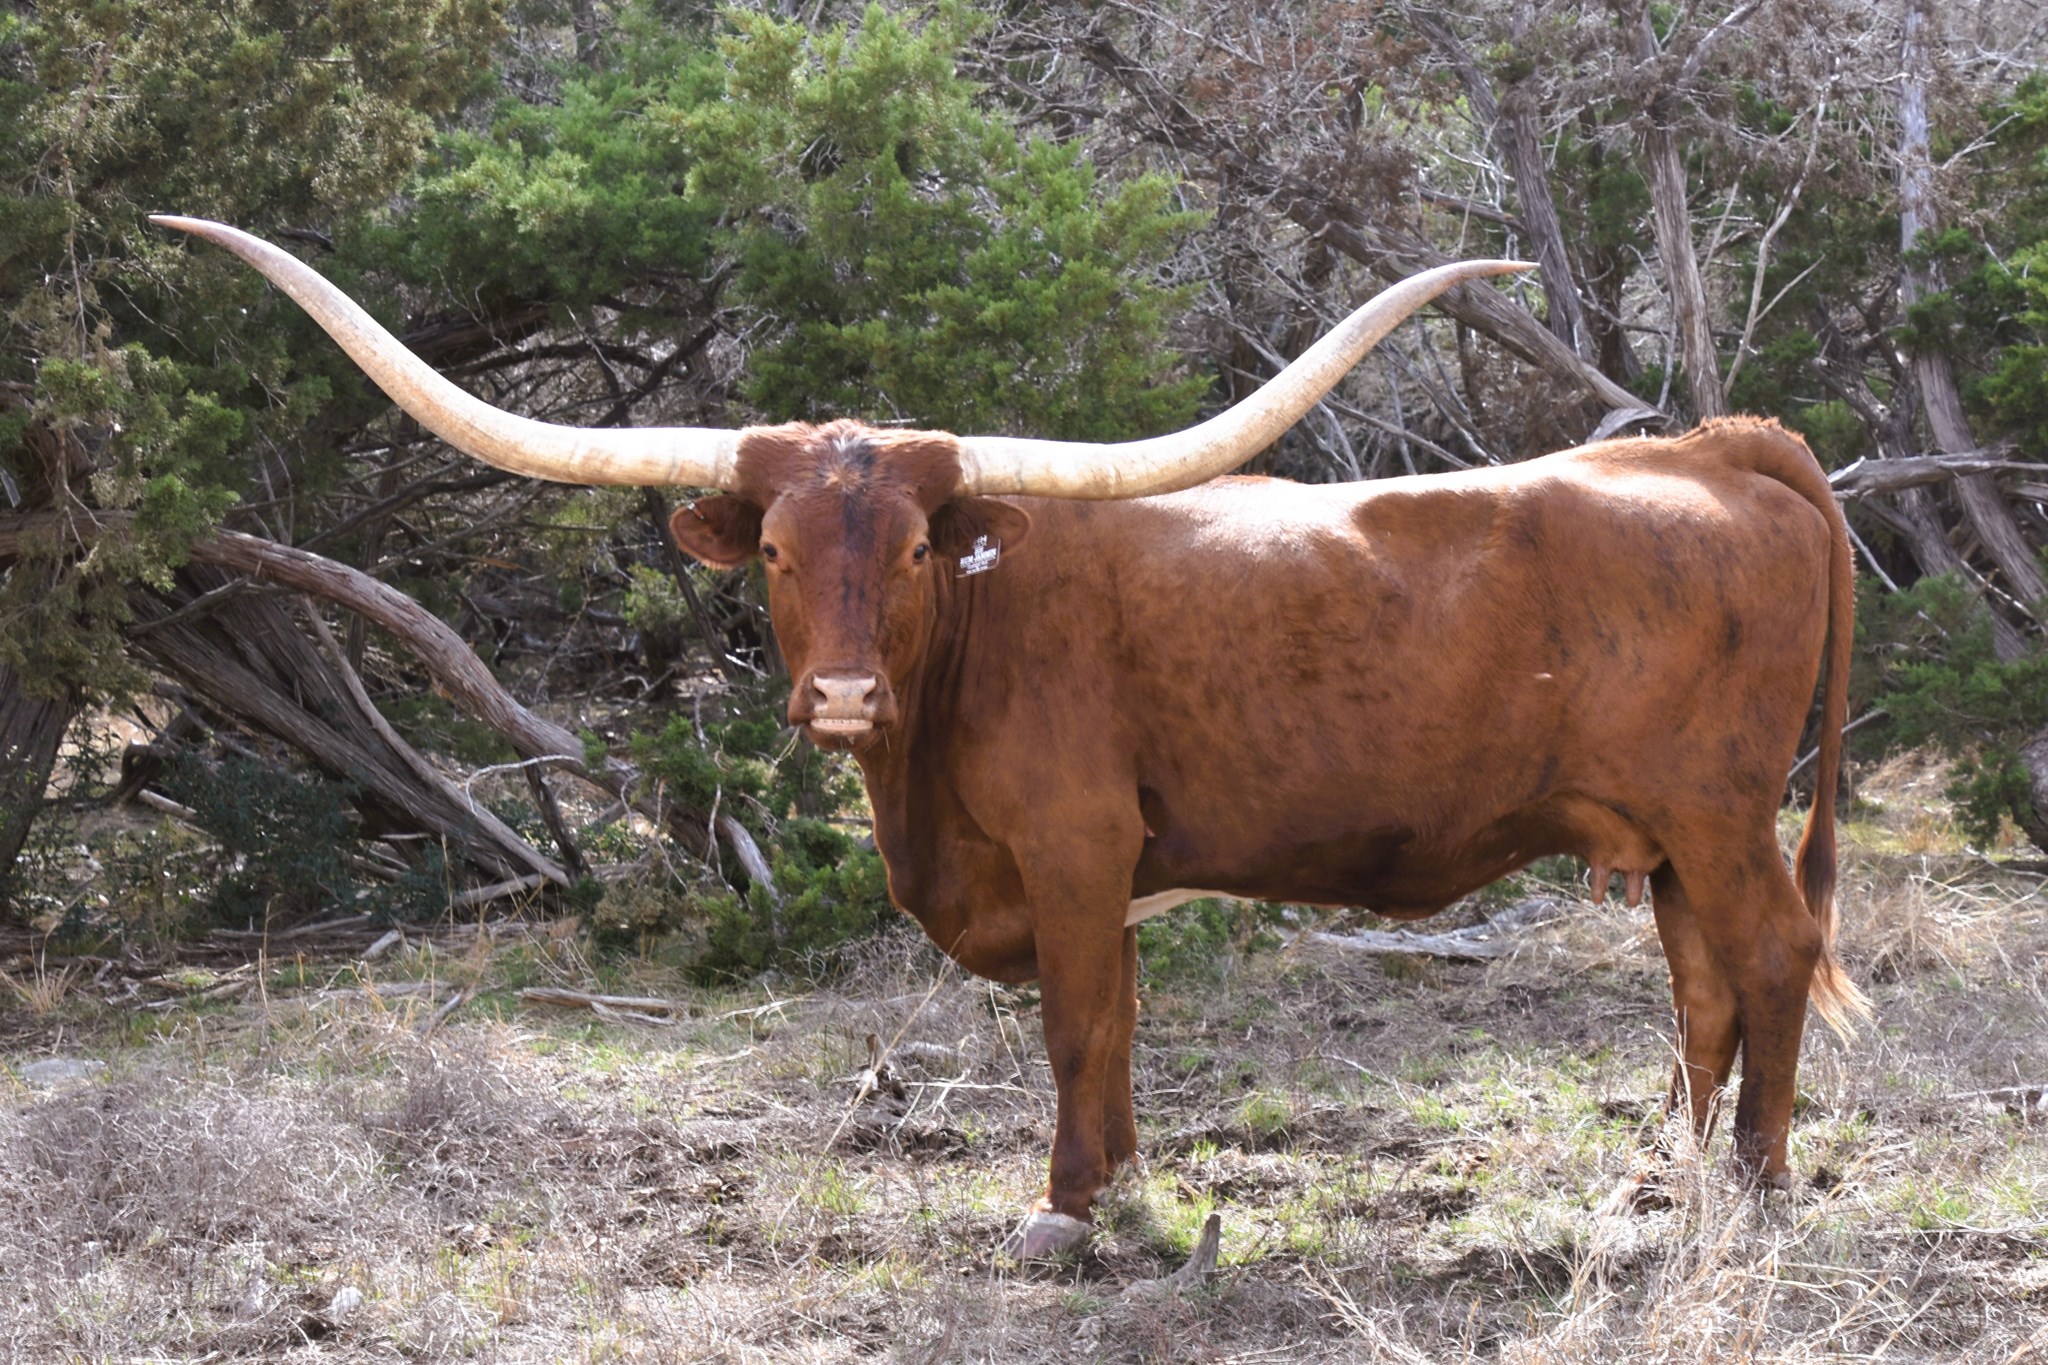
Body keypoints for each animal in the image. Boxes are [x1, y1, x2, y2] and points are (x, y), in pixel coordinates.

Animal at [155, 216, 1867, 1258]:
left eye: (916, 545)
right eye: (776, 551)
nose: (843, 698)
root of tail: (1724, 449)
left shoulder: (1074, 848)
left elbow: (1076, 1023)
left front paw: (1067, 1208)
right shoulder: (1090, 872)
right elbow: (1114, 1025)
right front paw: (1122, 1189)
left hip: (1720, 816)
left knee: (1770, 958)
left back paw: (1761, 1187)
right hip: (1664, 836)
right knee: (1703, 986)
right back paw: (1669, 1178)